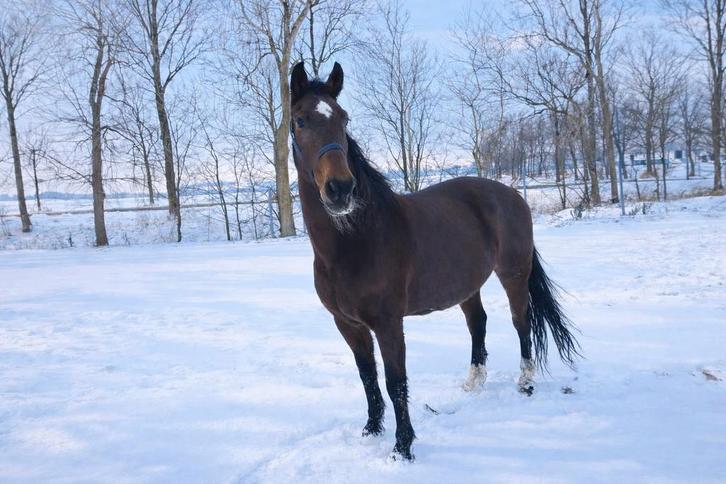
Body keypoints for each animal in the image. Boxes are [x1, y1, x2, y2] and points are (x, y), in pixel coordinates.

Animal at [289, 61, 580, 461]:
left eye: (344, 120)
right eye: (300, 120)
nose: (340, 189)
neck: (354, 241)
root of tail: (511, 195)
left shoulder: (388, 323)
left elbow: (395, 381)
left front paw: (402, 447)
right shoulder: (347, 324)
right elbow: (367, 376)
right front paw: (371, 430)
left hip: (513, 274)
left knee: (521, 321)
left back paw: (525, 382)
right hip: (468, 286)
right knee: (478, 323)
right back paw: (473, 382)